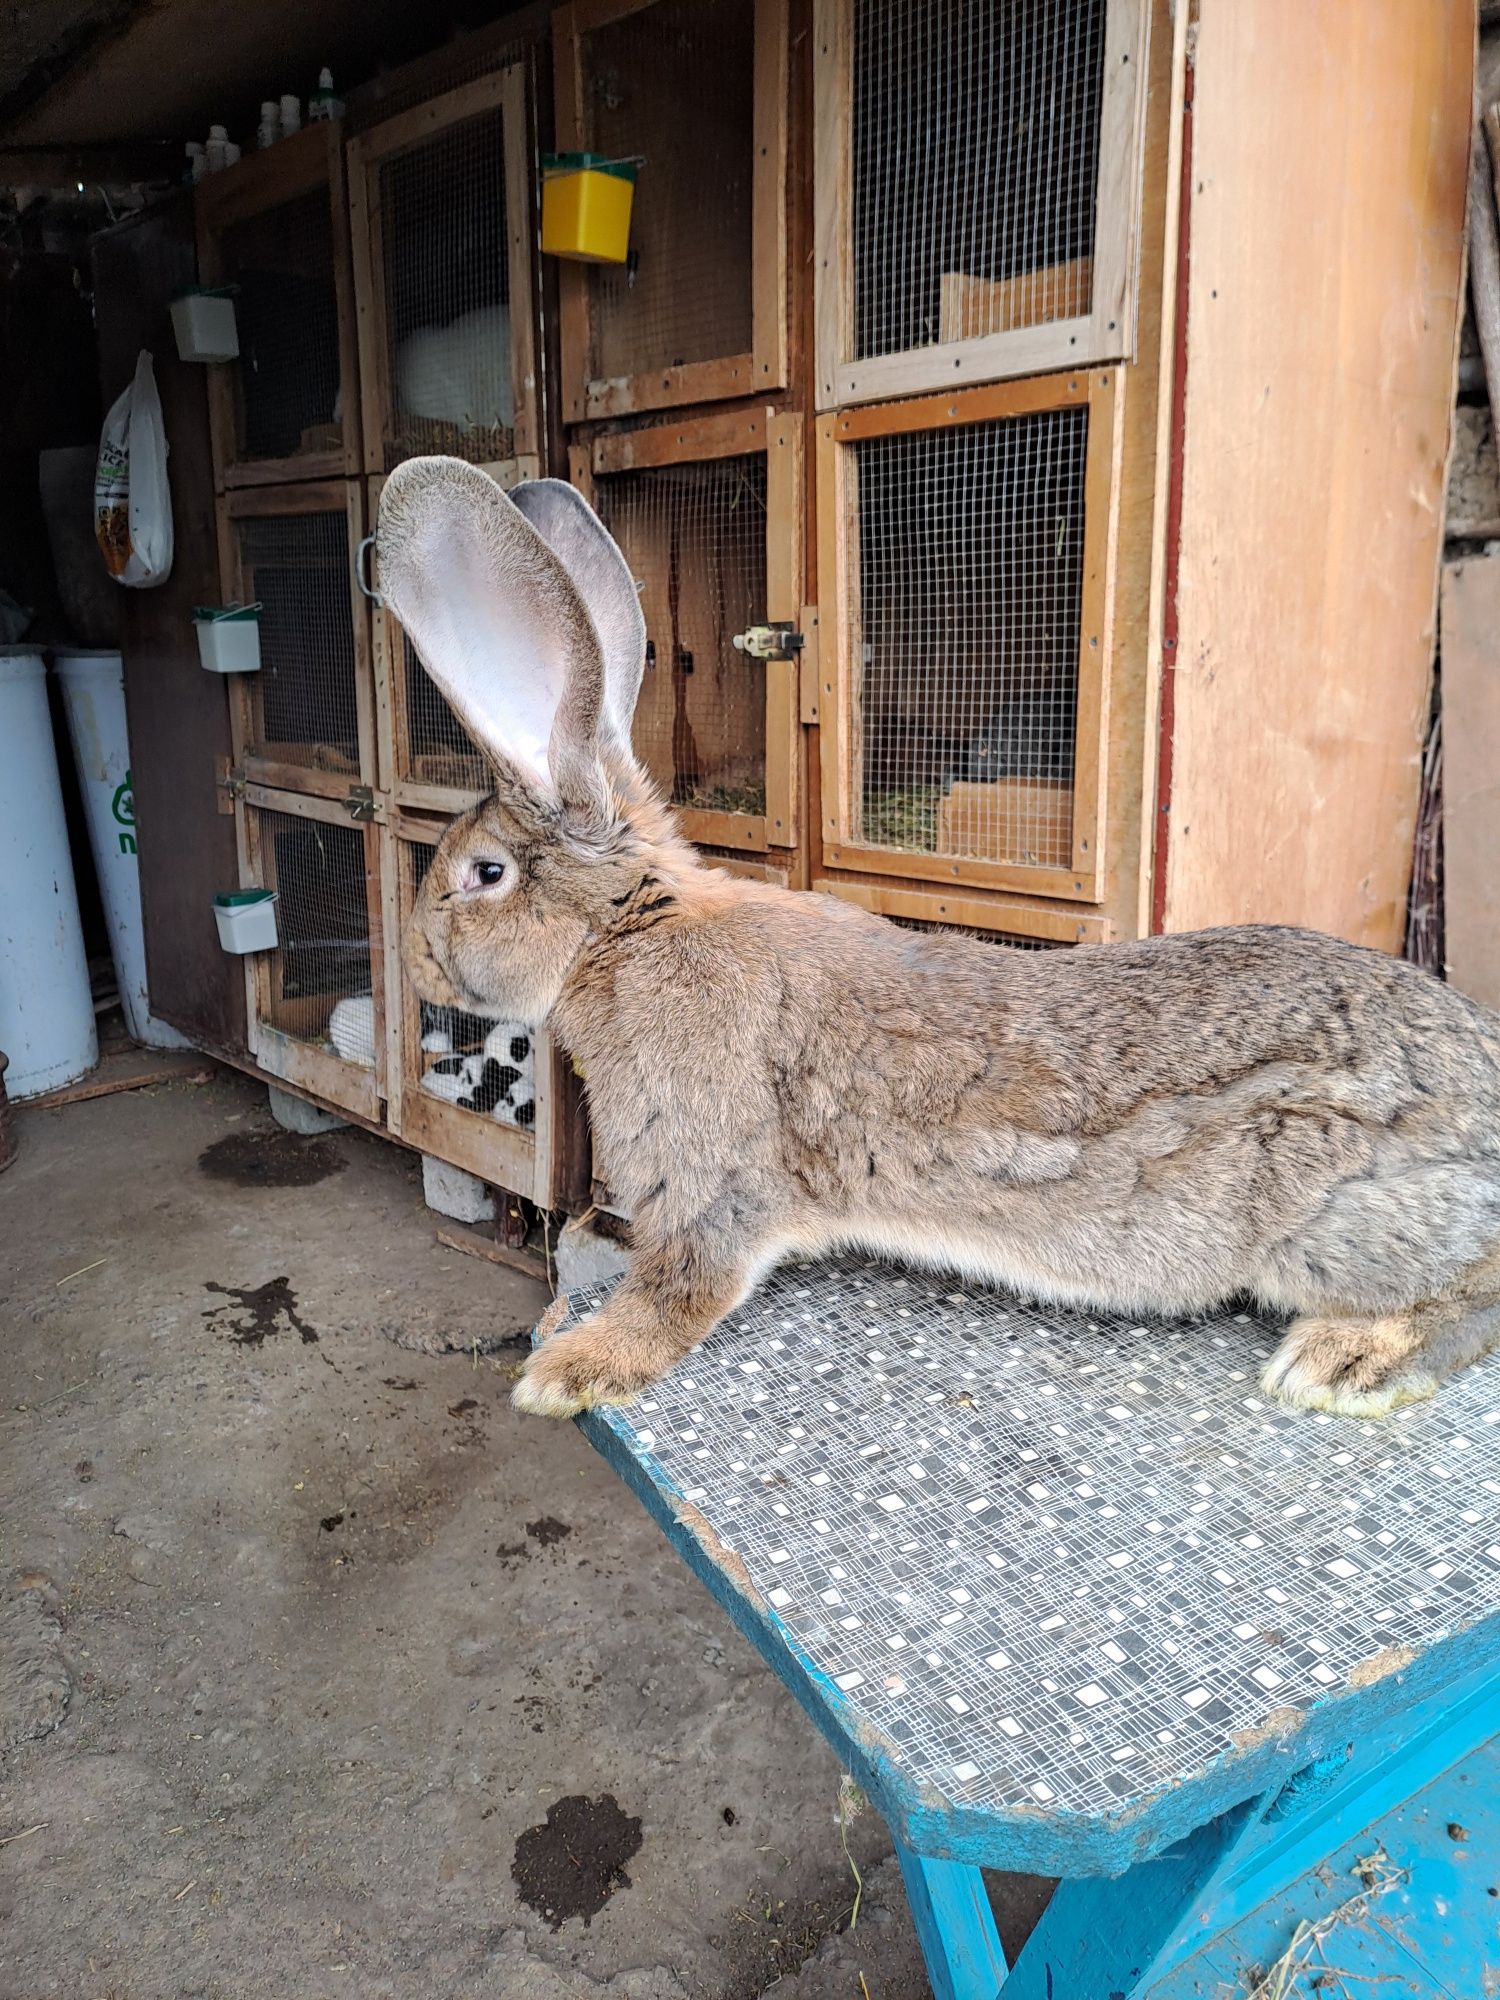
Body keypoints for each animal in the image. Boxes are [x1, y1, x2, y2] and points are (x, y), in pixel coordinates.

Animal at [374, 454, 1500, 1424]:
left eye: (484, 874)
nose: (418, 959)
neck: (628, 929)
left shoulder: (708, 1188)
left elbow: (677, 1291)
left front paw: (566, 1371)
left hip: (1338, 1221)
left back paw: (1348, 1358)